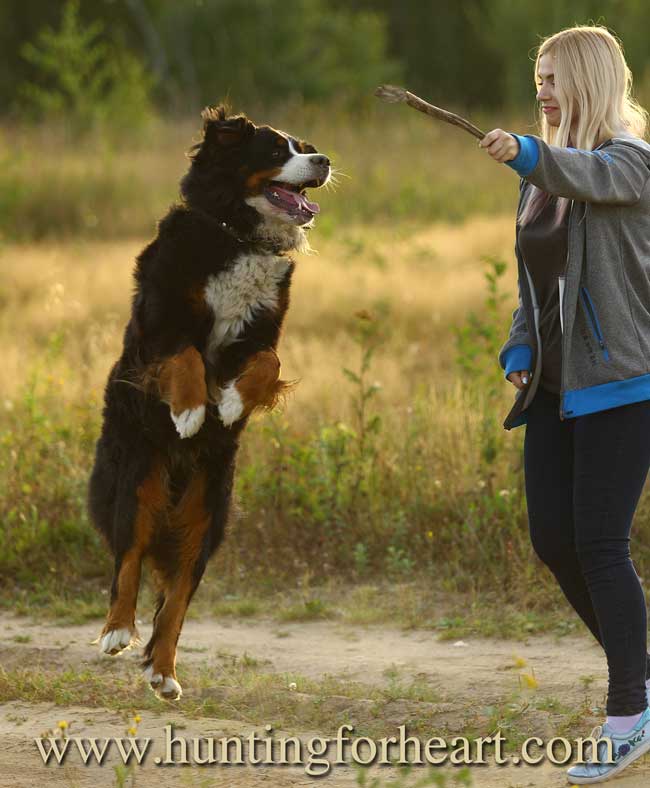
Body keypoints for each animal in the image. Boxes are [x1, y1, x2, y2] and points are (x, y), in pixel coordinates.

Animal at [87, 106, 330, 700]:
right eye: (276, 150)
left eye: (305, 146)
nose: (325, 160)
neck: (238, 236)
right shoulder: (162, 322)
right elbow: (188, 357)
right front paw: (193, 411)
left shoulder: (261, 332)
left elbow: (268, 365)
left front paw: (231, 405)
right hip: (137, 476)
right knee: (129, 556)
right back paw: (116, 631)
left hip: (208, 512)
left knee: (176, 597)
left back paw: (164, 671)